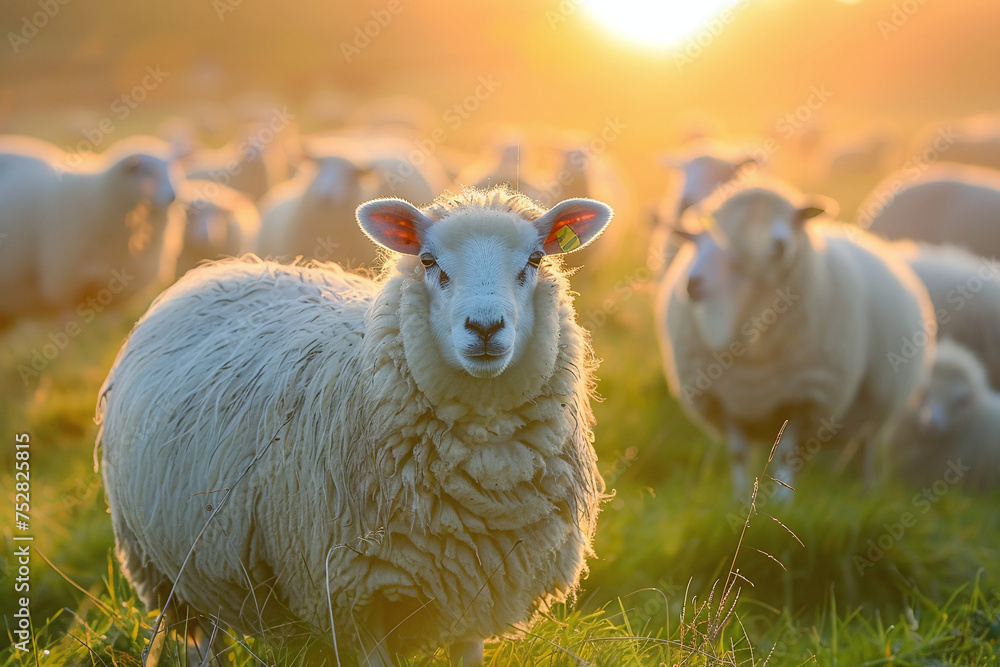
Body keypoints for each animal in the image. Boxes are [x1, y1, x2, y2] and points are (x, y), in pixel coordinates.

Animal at [0, 134, 183, 323]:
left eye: (173, 169)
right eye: (148, 172)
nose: (173, 196)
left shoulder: (118, 286)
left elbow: (111, 318)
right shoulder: (63, 280)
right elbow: (66, 314)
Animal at [96, 186, 612, 665]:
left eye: (536, 258)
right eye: (428, 261)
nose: (484, 328)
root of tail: (217, 269)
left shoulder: (478, 591)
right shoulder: (356, 593)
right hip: (172, 571)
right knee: (204, 639)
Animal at [656, 180, 934, 497]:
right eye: (696, 244)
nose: (692, 283)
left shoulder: (803, 396)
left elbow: (788, 455)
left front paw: (782, 501)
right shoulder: (724, 401)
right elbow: (738, 454)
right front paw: (740, 498)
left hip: (873, 415)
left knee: (863, 449)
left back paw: (867, 490)